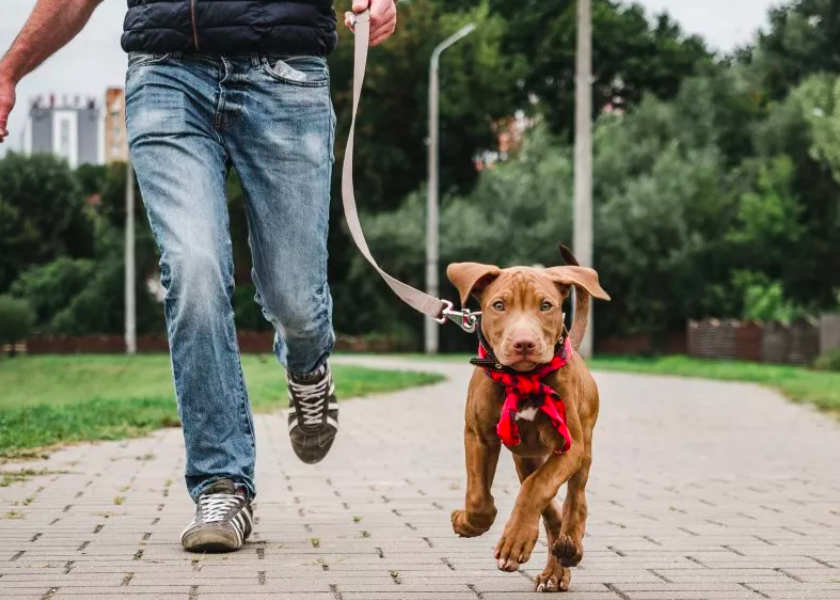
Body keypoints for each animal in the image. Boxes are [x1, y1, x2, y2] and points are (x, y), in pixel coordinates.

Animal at [450, 246, 608, 592]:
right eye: (498, 305)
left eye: (545, 306)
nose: (524, 343)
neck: (523, 380)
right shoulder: (479, 436)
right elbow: (480, 497)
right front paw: (468, 522)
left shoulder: (570, 446)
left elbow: (538, 488)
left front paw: (515, 540)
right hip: (525, 456)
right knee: (547, 506)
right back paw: (556, 567)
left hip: (585, 445)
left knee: (574, 500)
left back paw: (569, 547)